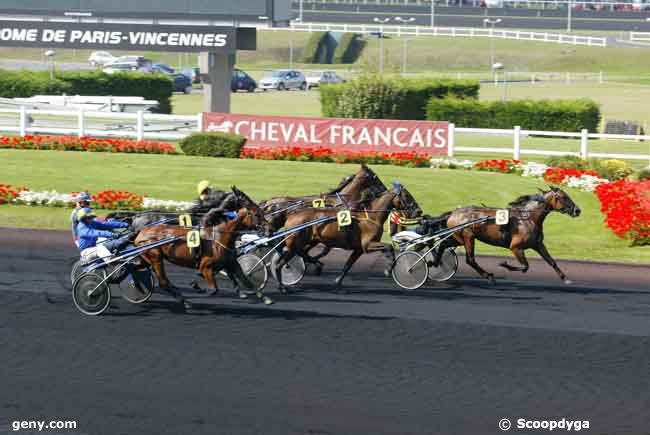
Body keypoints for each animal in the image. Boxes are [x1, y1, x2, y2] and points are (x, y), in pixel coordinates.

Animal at [272, 182, 420, 294]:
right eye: (407, 196)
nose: (419, 211)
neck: (371, 217)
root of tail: (291, 214)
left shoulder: (358, 249)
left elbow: (348, 265)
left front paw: (338, 283)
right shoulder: (368, 245)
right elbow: (389, 248)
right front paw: (388, 270)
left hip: (309, 241)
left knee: (303, 253)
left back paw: (316, 266)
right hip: (296, 243)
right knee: (281, 263)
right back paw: (282, 286)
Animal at [432, 187, 580, 286]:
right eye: (564, 197)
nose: (577, 210)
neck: (527, 218)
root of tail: (452, 214)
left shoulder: (537, 244)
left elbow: (551, 261)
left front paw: (565, 278)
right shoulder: (515, 247)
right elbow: (525, 267)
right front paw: (504, 264)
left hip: (458, 238)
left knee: (444, 244)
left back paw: (435, 262)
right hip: (467, 237)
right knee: (470, 260)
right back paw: (489, 276)